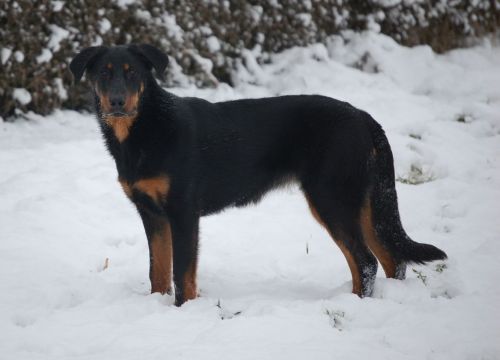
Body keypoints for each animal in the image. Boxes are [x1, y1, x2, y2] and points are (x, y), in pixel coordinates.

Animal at [69, 43, 446, 306]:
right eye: (104, 74)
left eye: (133, 73)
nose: (117, 102)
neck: (145, 129)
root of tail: (364, 117)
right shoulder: (152, 214)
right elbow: (158, 271)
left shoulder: (183, 212)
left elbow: (183, 273)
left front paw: (183, 310)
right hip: (362, 200)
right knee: (392, 257)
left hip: (332, 198)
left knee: (365, 262)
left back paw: (354, 303)